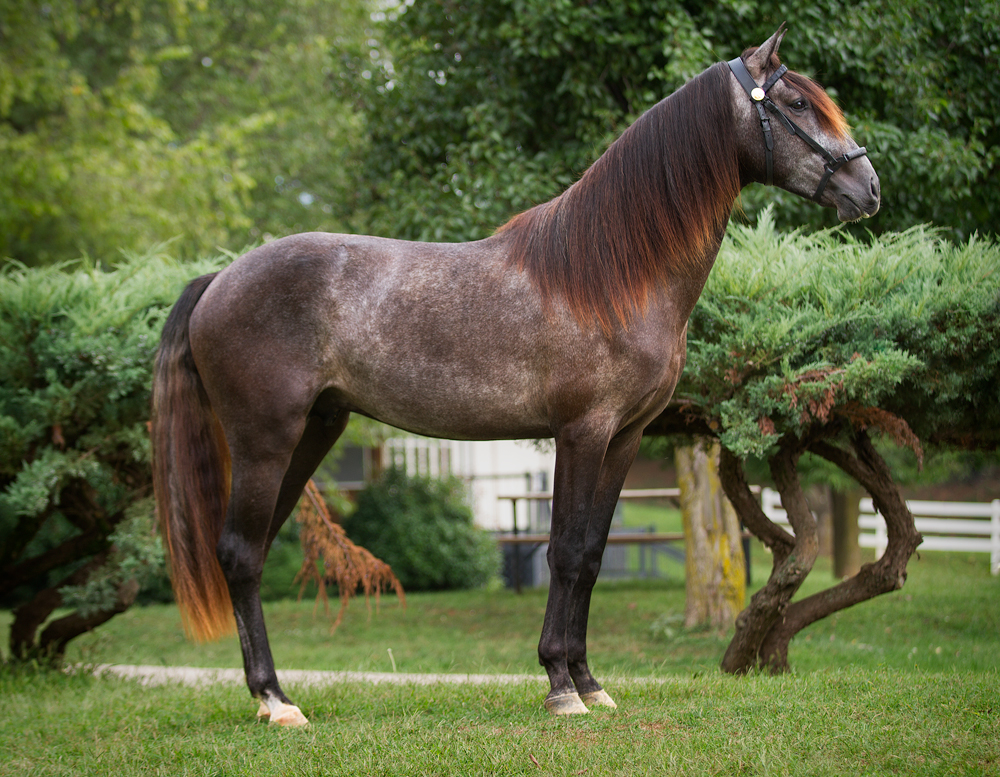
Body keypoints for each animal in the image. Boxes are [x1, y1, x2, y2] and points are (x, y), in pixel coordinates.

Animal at [152, 25, 880, 728]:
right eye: (795, 104)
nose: (869, 188)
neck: (607, 273)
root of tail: (219, 280)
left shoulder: (625, 438)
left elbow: (592, 554)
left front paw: (589, 682)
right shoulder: (581, 432)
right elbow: (564, 551)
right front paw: (560, 685)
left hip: (313, 431)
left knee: (251, 552)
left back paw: (268, 695)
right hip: (265, 439)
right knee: (241, 554)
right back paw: (276, 700)